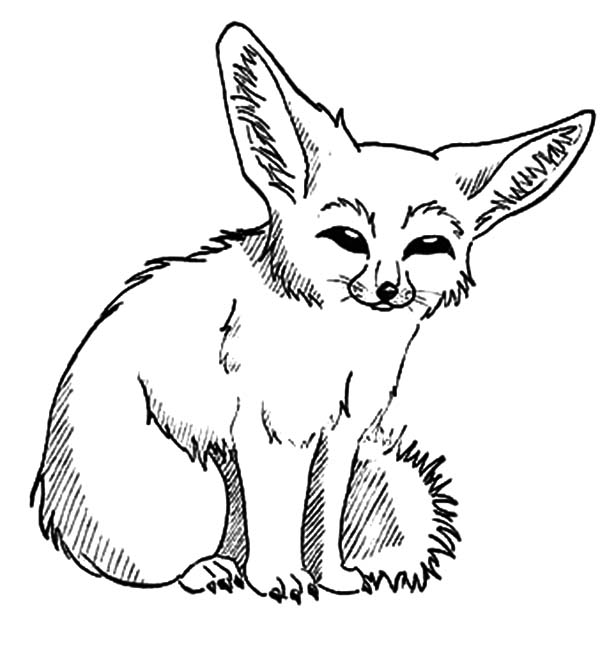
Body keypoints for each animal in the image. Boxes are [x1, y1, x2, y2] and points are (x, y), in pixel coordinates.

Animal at [31, 22, 594, 603]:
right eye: (348, 238)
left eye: (427, 246)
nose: (388, 288)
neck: (340, 345)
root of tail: (56, 516)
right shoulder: (265, 430)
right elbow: (274, 510)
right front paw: (276, 578)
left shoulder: (340, 432)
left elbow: (323, 509)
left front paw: (332, 575)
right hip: (197, 487)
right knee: (149, 567)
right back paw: (208, 569)